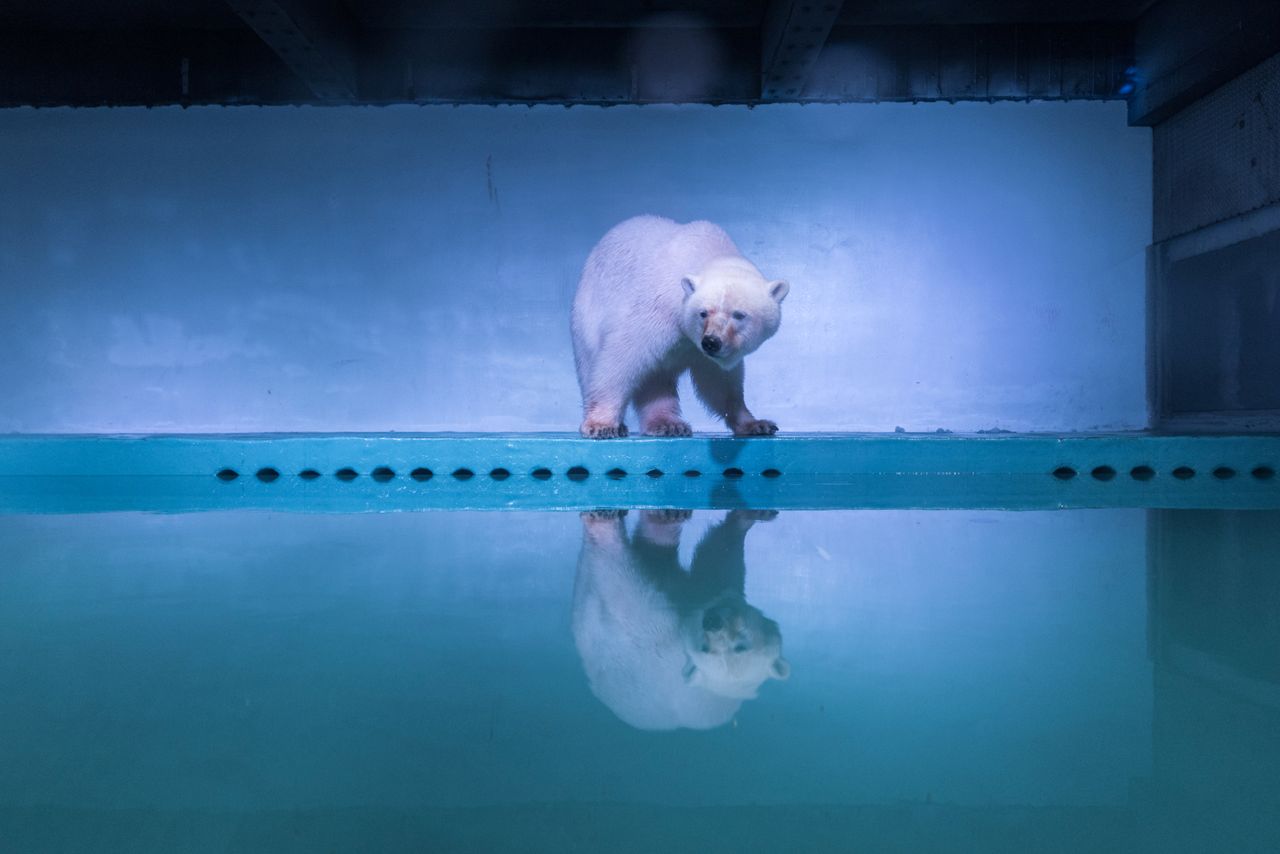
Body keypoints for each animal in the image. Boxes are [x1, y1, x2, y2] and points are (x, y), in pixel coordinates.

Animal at [573, 213, 788, 440]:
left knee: (656, 379)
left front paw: (755, 423)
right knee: (591, 363)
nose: (711, 342)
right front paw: (601, 425)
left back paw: (667, 423)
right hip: (587, 313)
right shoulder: (657, 310)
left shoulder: (703, 352)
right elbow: (621, 358)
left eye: (739, 315)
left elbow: (719, 381)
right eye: (703, 312)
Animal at [573, 507, 788, 737]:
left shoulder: (661, 635)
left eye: (740, 645)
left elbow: (624, 584)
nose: (712, 621)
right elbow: (717, 561)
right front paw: (749, 517)